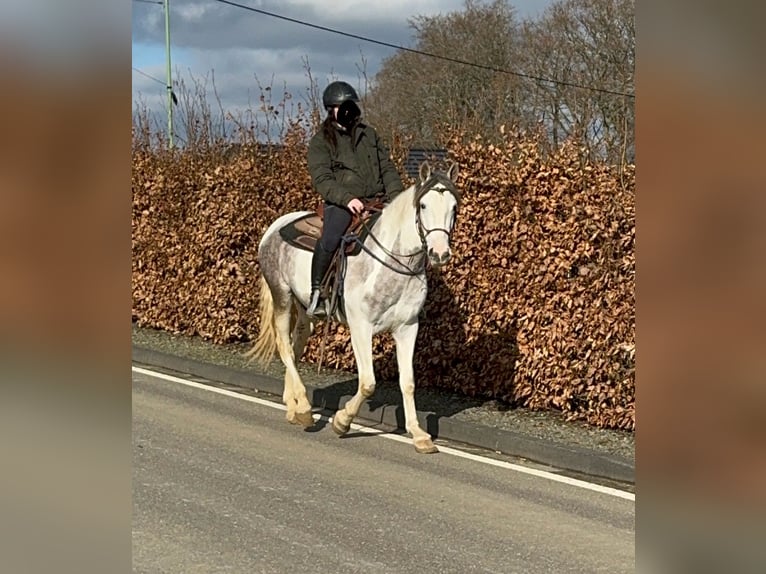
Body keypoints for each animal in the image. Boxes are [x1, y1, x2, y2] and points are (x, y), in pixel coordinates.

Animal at [249, 161, 460, 454]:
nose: (440, 253)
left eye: (454, 207)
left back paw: (293, 407)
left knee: (295, 346)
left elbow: (407, 382)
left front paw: (419, 435)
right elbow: (368, 382)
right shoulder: (361, 327)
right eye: (423, 205)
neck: (389, 261)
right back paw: (304, 408)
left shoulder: (407, 328)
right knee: (284, 346)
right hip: (282, 296)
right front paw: (342, 421)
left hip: (304, 311)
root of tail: (274, 228)